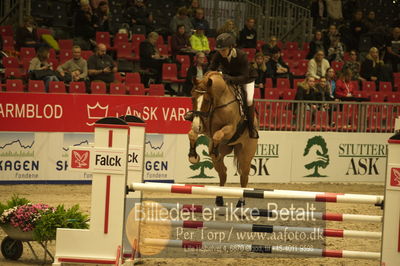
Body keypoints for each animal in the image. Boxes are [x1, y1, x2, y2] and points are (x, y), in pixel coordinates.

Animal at [187, 71, 258, 207]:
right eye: (192, 97)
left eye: (207, 100)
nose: (196, 126)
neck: (218, 101)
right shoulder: (205, 127)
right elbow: (192, 134)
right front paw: (193, 156)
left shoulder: (230, 129)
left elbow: (218, 135)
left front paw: (214, 151)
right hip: (226, 149)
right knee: (223, 172)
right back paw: (219, 198)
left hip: (245, 154)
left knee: (244, 175)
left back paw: (241, 202)